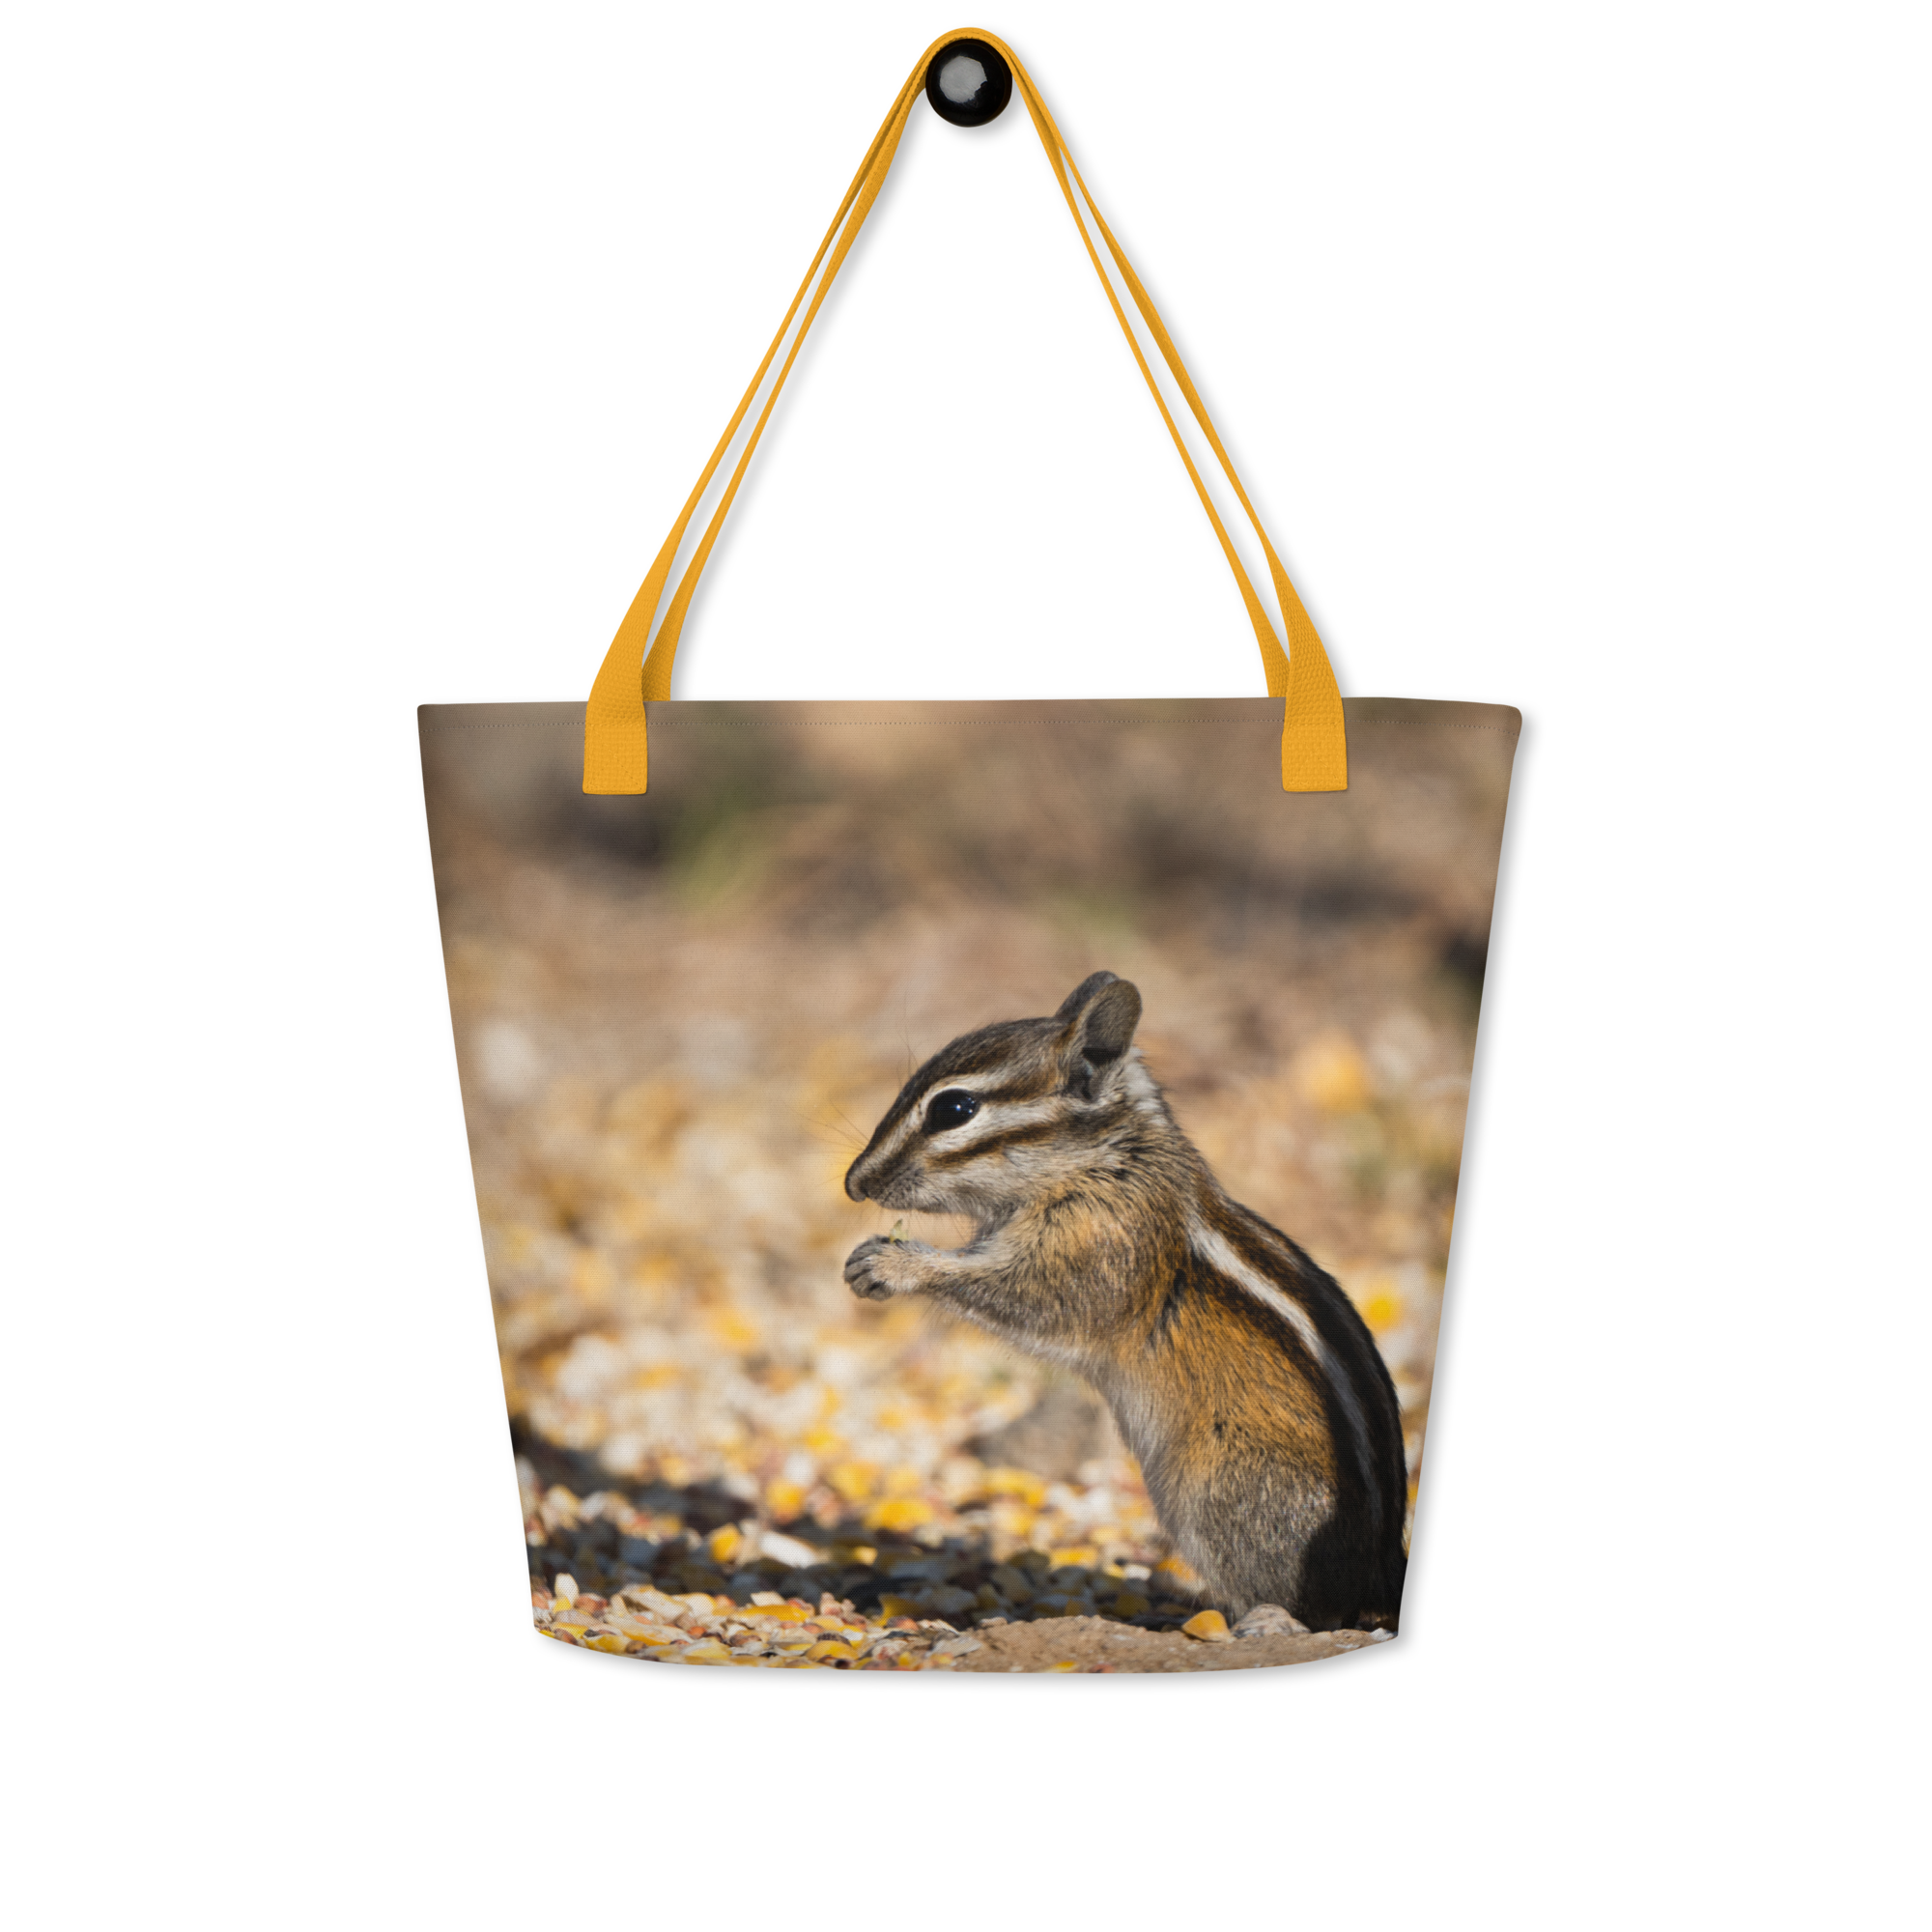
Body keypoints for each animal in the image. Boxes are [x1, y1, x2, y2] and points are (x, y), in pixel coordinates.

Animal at [842, 972, 1407, 1633]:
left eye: (953, 1109)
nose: (855, 1184)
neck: (1109, 1159)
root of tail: (1383, 1568)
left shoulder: (1098, 1248)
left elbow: (1032, 1297)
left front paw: (893, 1264)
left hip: (1218, 1490)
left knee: (1317, 1611)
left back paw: (1260, 1620)